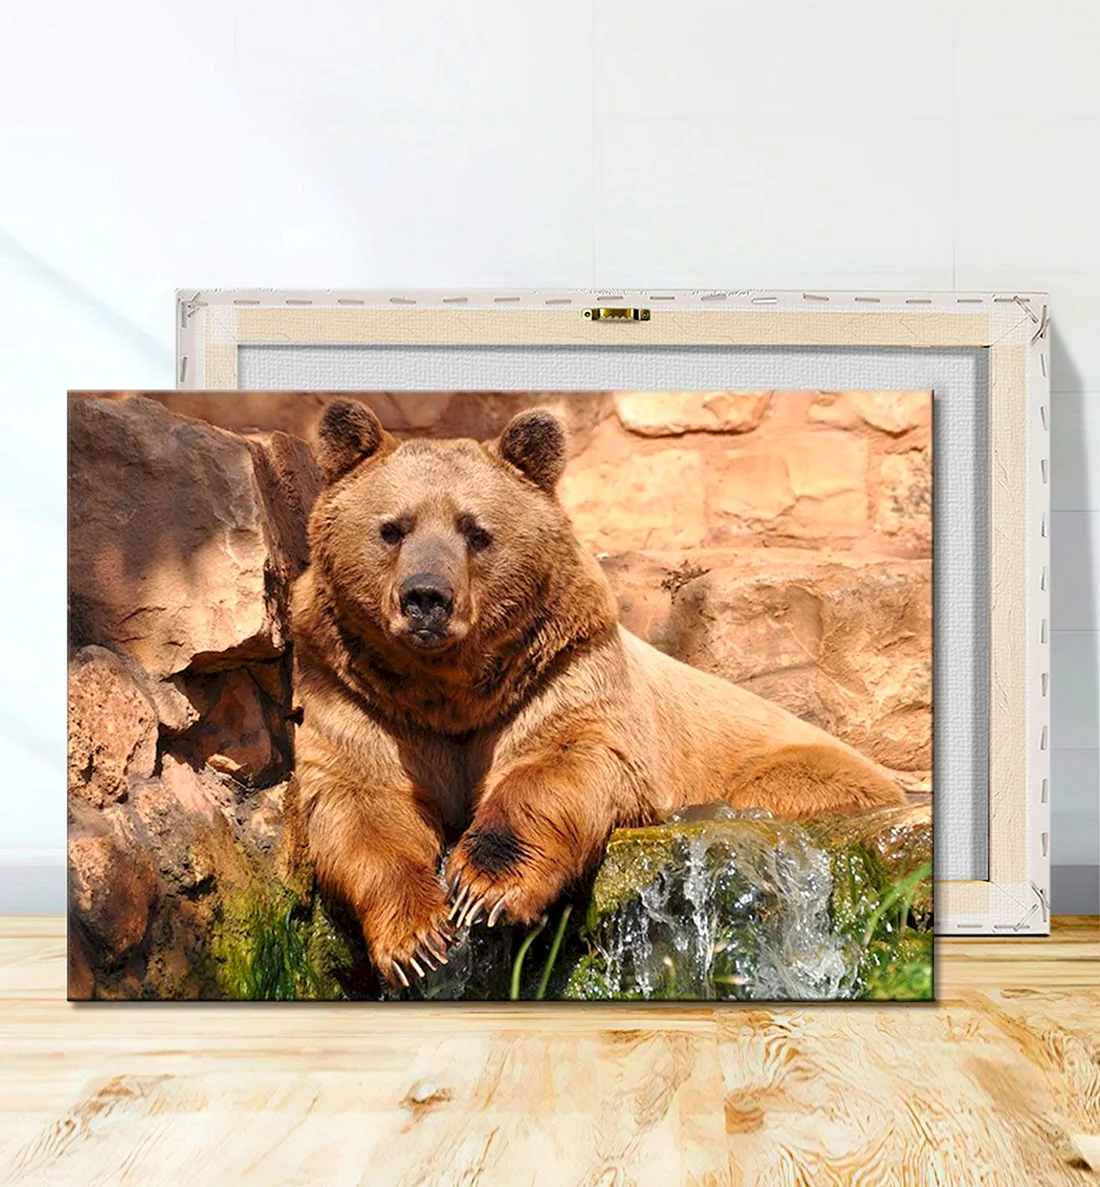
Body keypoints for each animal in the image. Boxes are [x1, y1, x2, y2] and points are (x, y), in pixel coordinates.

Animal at [291, 400, 906, 988]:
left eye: (476, 531)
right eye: (392, 528)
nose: (426, 598)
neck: (449, 689)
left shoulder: (561, 671)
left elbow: (564, 763)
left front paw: (482, 885)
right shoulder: (360, 696)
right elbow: (364, 801)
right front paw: (417, 940)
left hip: (798, 773)